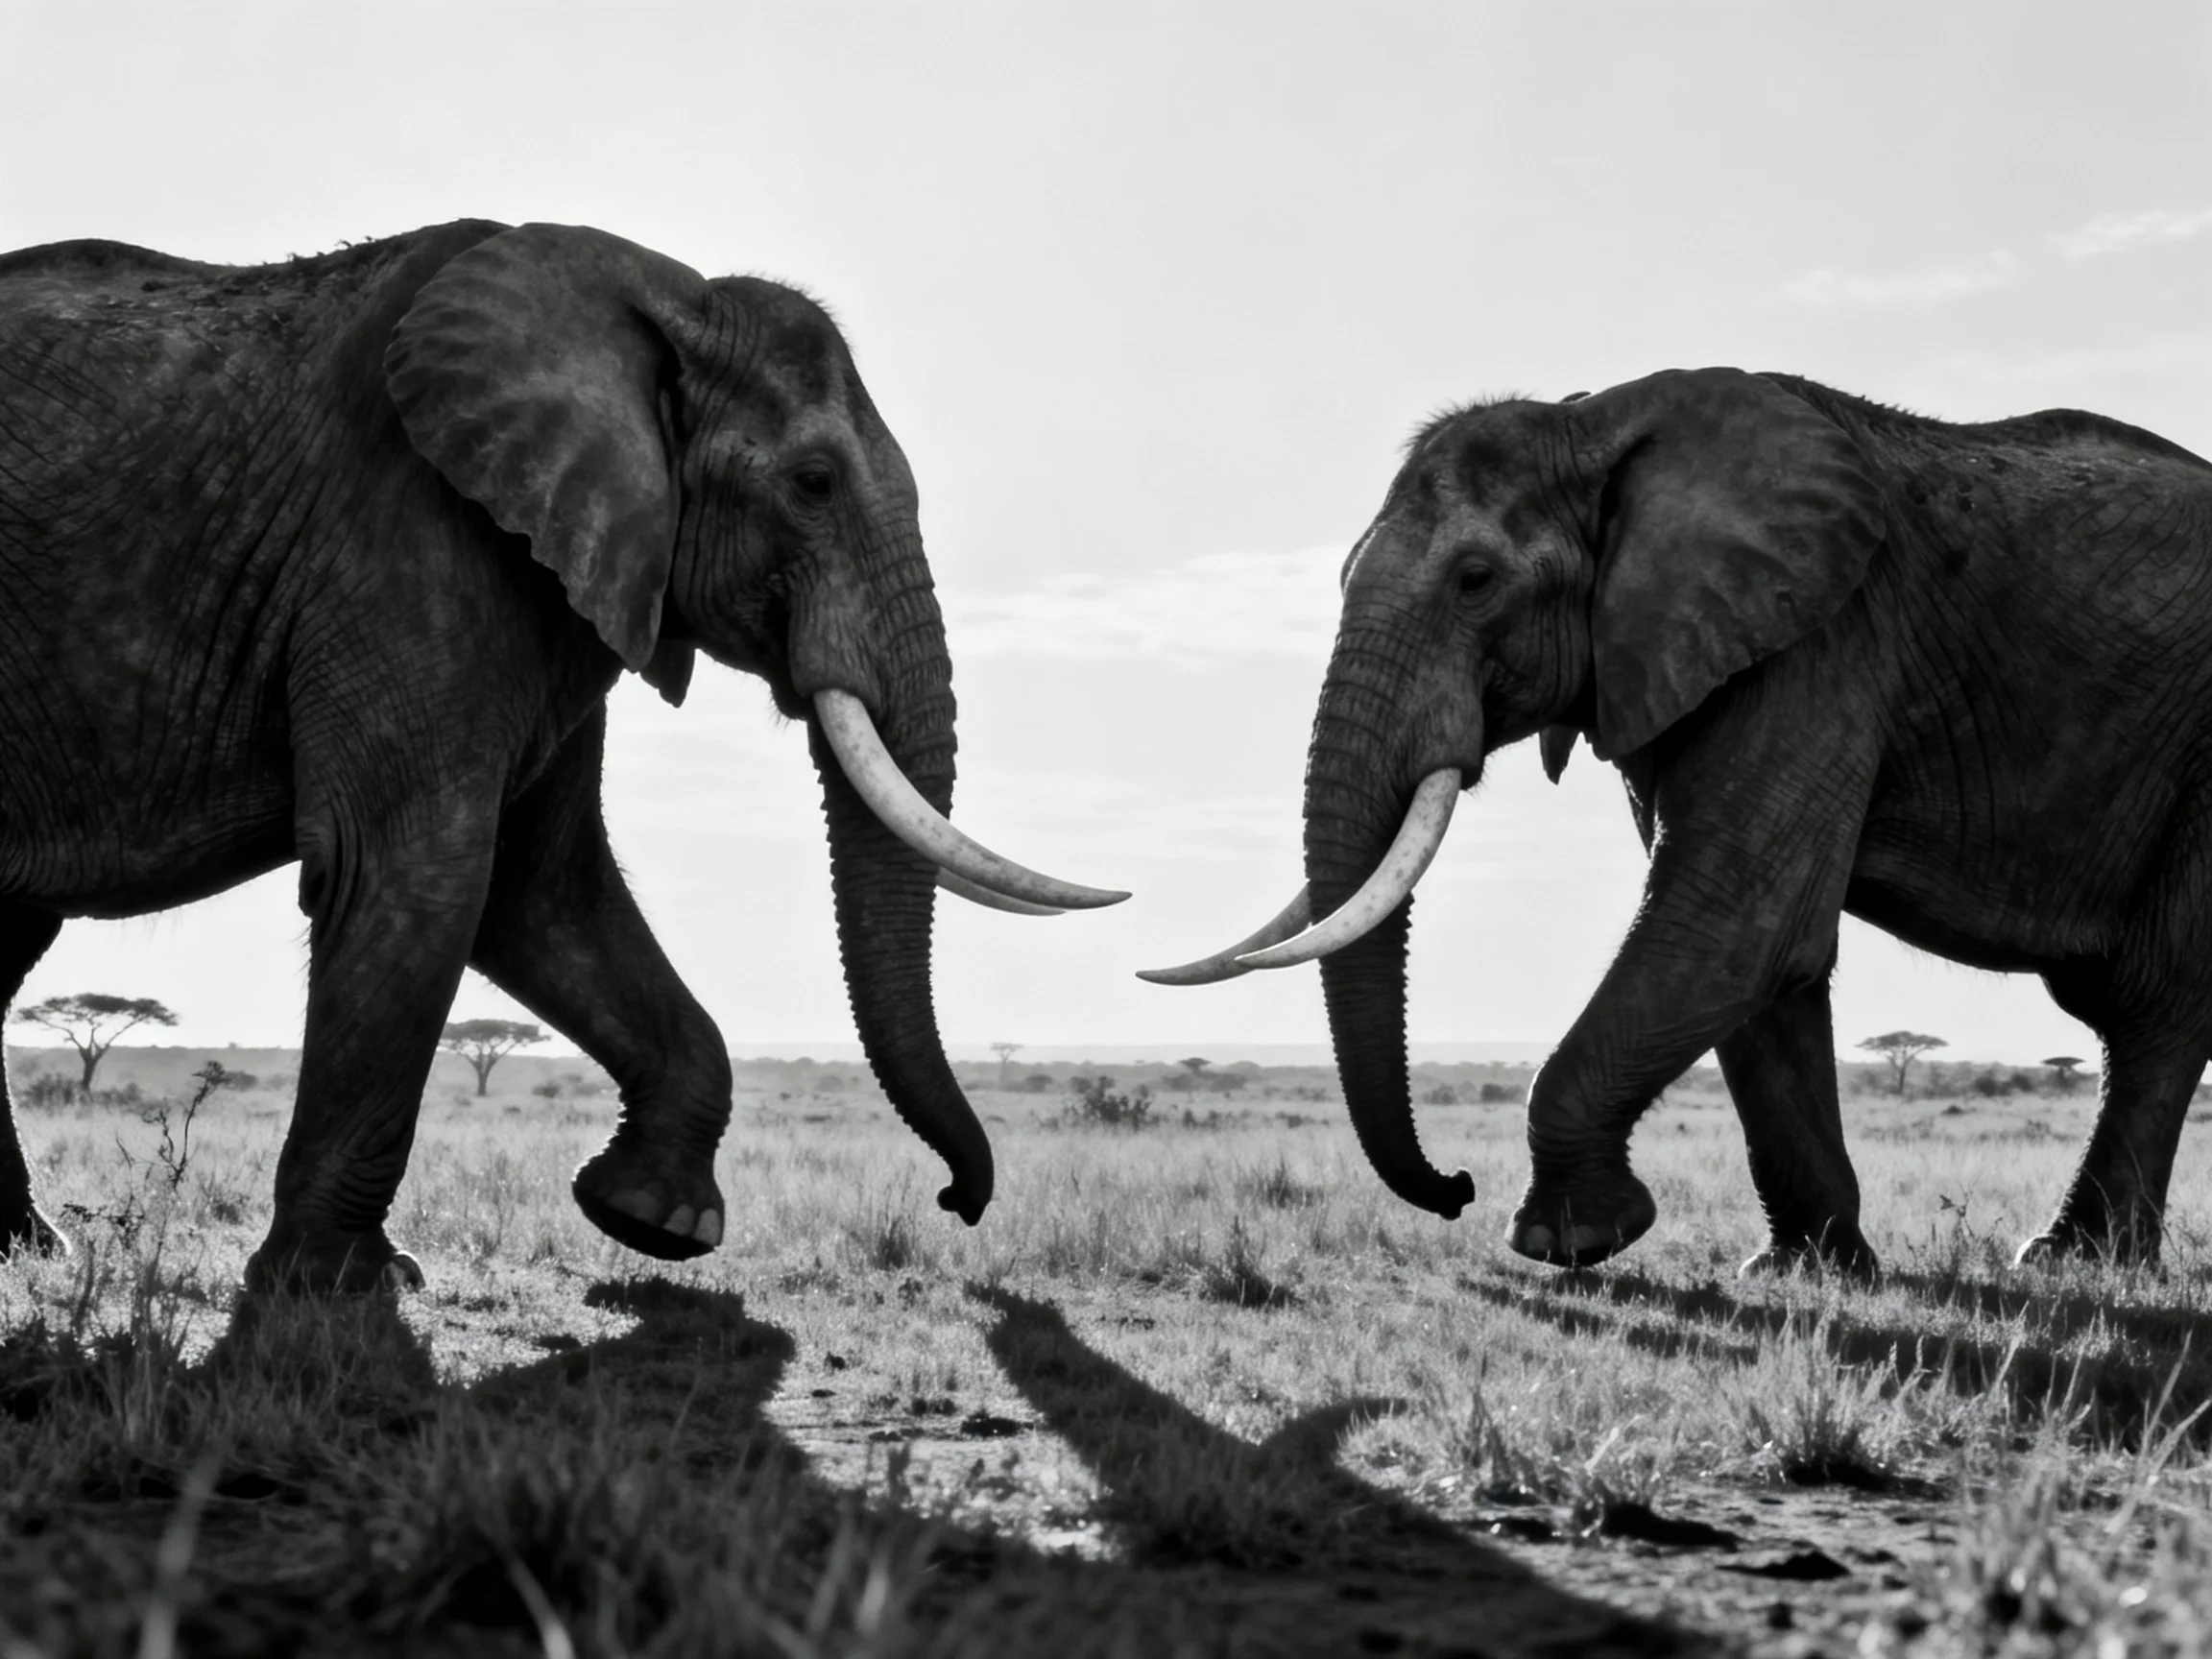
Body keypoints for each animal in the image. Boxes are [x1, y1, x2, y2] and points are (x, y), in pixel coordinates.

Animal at [0, 219, 1124, 1292]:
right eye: (813, 482)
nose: (956, 1202)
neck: (664, 301)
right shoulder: (408, 537)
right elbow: (421, 875)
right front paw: (346, 1285)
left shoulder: (568, 581)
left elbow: (546, 896)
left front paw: (653, 1220)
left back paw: (31, 1250)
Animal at [1149, 367, 2212, 1274]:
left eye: (1475, 580)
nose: (1455, 1186)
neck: (1594, 421)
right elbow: (1771, 964)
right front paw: (1807, 1273)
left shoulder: (1823, 642)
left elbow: (1731, 925)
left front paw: (1569, 1243)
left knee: (2153, 1003)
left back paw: (2076, 1262)